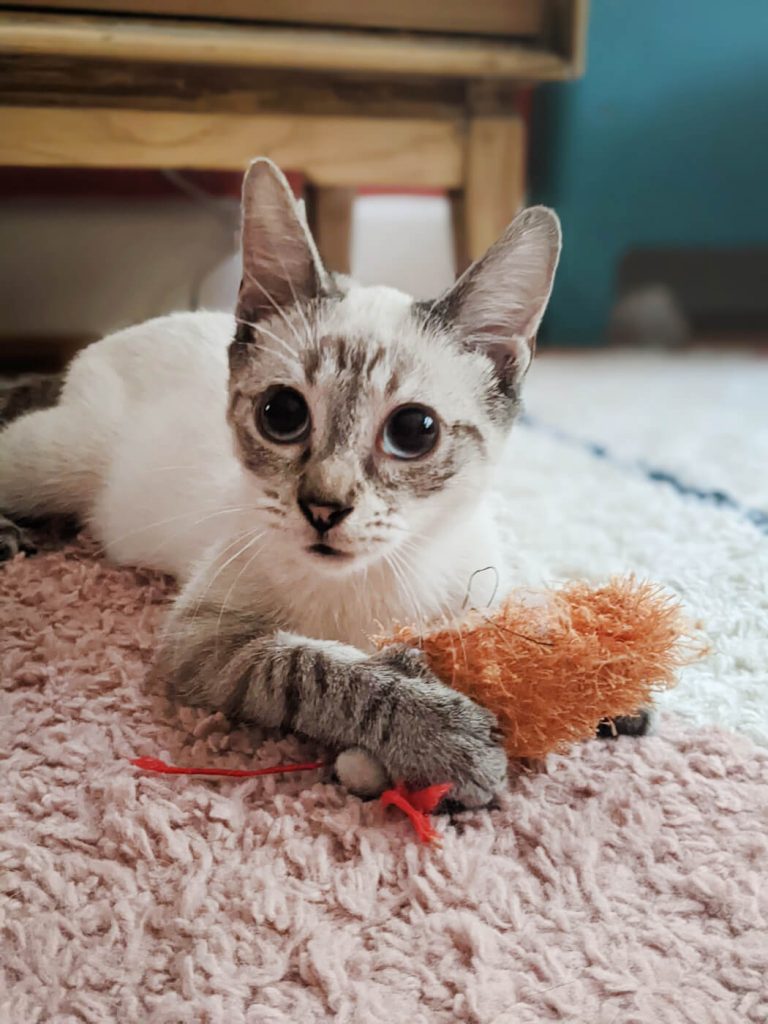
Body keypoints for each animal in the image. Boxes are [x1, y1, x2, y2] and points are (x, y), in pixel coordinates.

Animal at [1, 157, 565, 806]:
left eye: (414, 430)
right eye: (283, 414)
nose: (323, 508)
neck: (374, 582)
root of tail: (115, 335)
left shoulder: (481, 588)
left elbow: (535, 615)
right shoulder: (203, 643)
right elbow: (315, 667)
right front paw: (444, 736)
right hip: (52, 462)